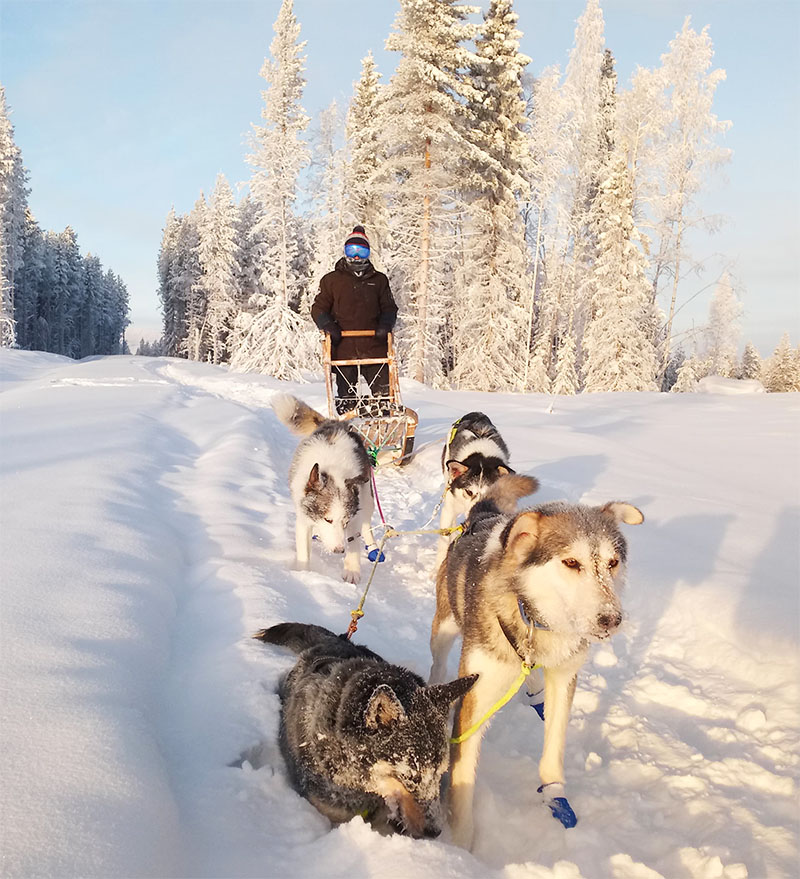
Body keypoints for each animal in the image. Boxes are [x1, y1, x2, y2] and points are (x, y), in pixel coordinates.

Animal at [272, 394, 376, 584]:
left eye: (345, 522)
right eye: (328, 520)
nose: (339, 550)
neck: (332, 470)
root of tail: (333, 422)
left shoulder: (354, 517)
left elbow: (354, 541)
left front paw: (352, 569)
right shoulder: (303, 519)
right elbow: (303, 552)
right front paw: (304, 574)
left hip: (368, 498)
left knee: (366, 524)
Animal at [432, 478, 644, 848]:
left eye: (613, 562)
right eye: (571, 562)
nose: (611, 619)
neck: (535, 619)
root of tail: (483, 516)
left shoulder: (564, 674)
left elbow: (554, 744)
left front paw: (554, 793)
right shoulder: (478, 694)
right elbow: (462, 781)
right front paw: (459, 849)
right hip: (443, 629)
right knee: (438, 663)